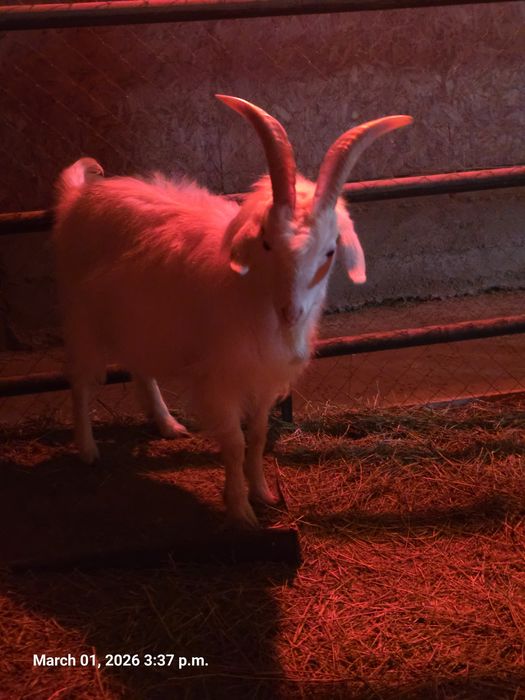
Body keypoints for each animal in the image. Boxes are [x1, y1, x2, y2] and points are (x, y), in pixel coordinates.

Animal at [53, 95, 412, 526]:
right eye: (267, 243)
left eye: (329, 252)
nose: (291, 311)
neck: (251, 295)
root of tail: (78, 197)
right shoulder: (221, 379)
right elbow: (235, 442)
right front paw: (240, 510)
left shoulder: (264, 378)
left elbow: (257, 437)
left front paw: (264, 493)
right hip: (81, 316)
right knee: (81, 381)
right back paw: (88, 449)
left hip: (139, 319)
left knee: (140, 367)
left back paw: (167, 424)